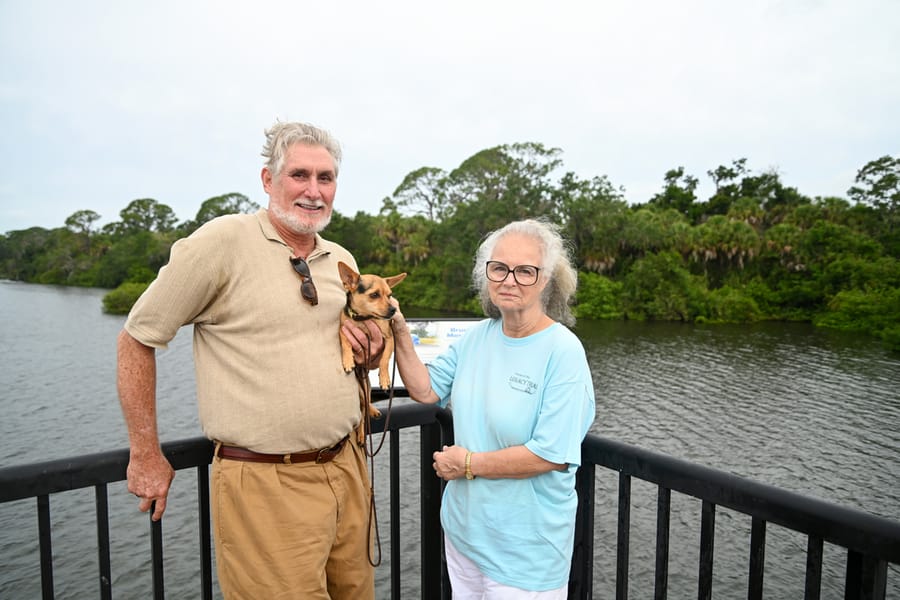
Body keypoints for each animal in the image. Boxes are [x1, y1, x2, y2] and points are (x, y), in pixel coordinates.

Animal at [338, 262, 408, 426]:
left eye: (390, 295)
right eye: (374, 295)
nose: (393, 310)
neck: (364, 319)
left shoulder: (389, 339)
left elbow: (384, 359)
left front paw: (385, 379)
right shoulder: (343, 330)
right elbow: (345, 343)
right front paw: (348, 360)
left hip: (367, 385)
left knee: (367, 399)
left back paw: (373, 410)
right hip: (361, 388)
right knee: (364, 401)